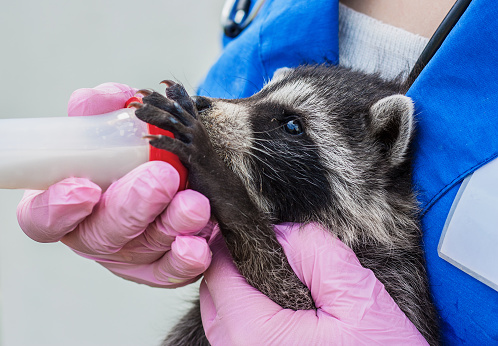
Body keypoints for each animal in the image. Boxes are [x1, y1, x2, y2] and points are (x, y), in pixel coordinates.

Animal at [133, 65, 440, 346]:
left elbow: (283, 287)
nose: (199, 103)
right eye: (258, 93)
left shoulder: (395, 277)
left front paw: (214, 172)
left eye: (292, 125)